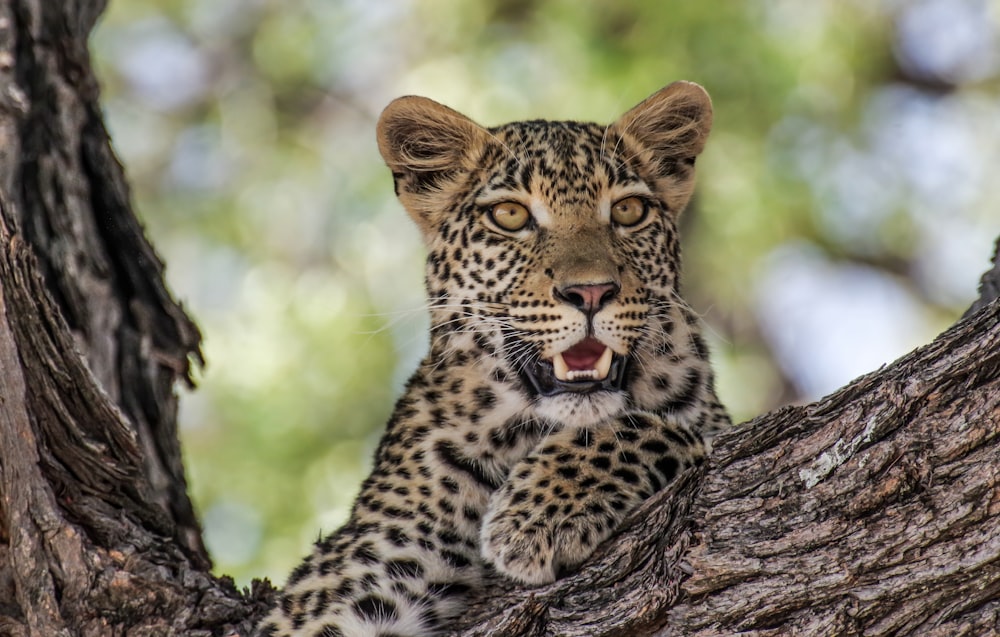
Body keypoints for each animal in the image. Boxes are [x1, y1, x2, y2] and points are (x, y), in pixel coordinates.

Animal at [254, 80, 732, 636]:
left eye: (629, 211)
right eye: (510, 216)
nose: (591, 292)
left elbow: (669, 428)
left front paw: (537, 514)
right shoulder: (364, 565)